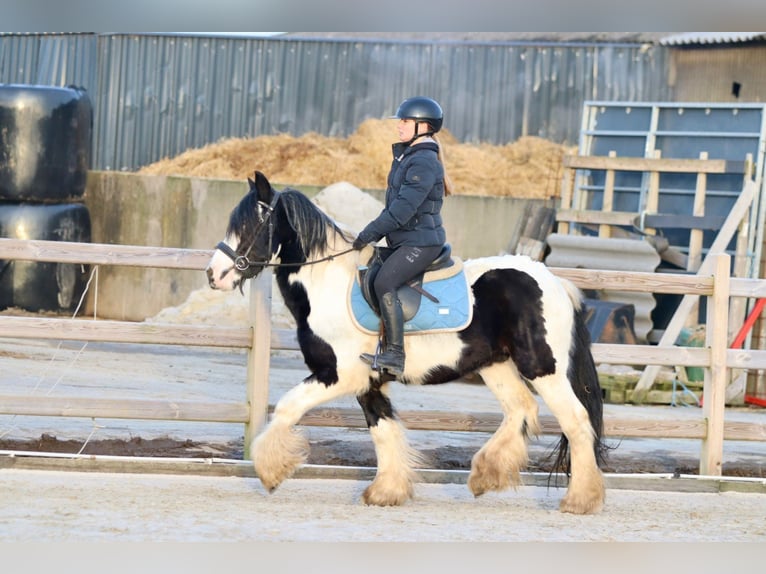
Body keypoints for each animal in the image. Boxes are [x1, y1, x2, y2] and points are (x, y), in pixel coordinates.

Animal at [207, 171, 608, 516]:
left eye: (250, 224)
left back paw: (581, 499)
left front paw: (270, 471)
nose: (214, 275)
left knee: (575, 420)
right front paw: (386, 492)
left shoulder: (340, 374)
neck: (327, 285)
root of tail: (555, 282)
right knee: (520, 409)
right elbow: (383, 431)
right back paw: (486, 475)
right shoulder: (369, 381)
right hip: (496, 365)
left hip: (542, 367)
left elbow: (288, 407)